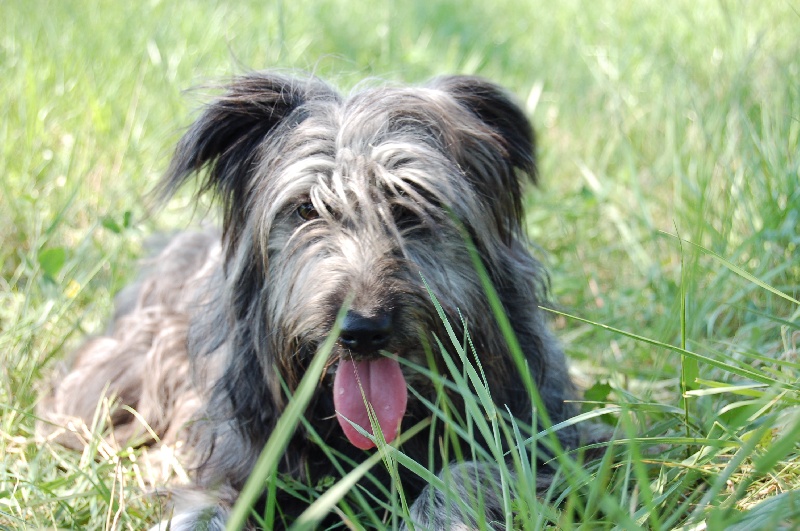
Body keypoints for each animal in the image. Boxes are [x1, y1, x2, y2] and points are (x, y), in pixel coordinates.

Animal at [37, 71, 588, 531]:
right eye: (306, 209)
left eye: (410, 207)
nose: (362, 331)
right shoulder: (231, 458)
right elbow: (206, 507)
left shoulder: (557, 441)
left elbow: (475, 474)